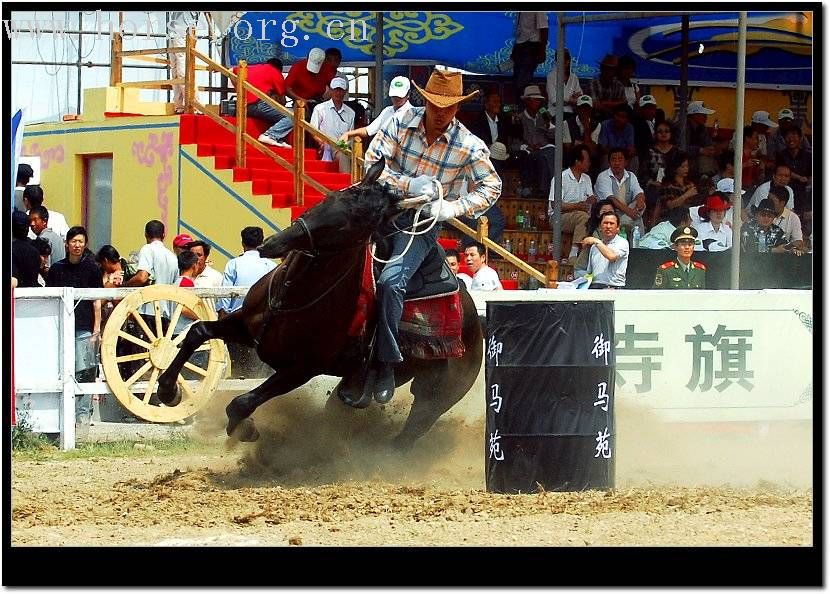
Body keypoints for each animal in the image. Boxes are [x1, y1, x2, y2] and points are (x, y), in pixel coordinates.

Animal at [157, 160, 484, 446]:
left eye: (358, 222)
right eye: (332, 197)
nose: (272, 243)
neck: (293, 296)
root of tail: (474, 319)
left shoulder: (302, 368)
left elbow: (242, 402)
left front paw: (246, 429)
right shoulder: (245, 328)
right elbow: (198, 331)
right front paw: (168, 390)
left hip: (435, 397)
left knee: (408, 436)